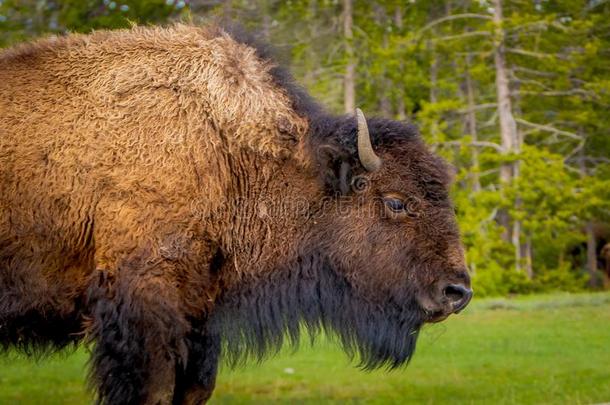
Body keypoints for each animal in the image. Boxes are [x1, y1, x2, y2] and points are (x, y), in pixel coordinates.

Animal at [0, 23, 470, 402]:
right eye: (396, 201)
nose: (458, 291)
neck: (224, 156)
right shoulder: (143, 305)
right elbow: (154, 391)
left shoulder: (200, 319)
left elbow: (194, 390)